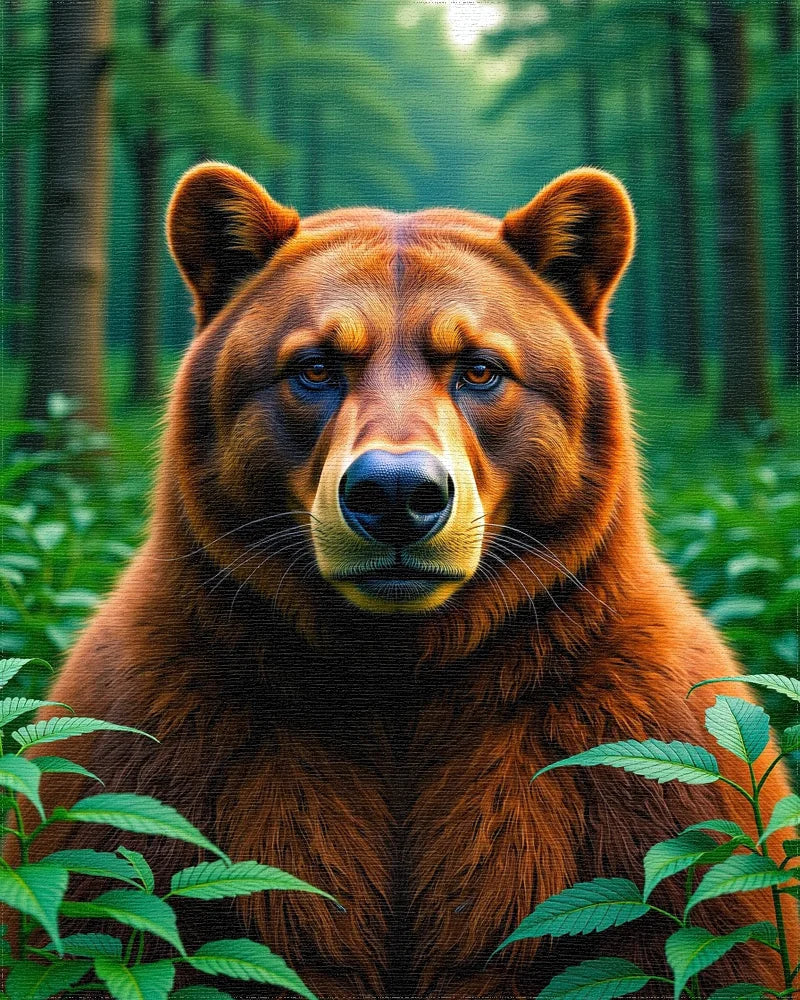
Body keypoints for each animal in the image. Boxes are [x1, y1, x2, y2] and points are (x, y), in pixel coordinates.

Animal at [17, 163, 797, 997]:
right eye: (315, 367)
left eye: (480, 369)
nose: (396, 493)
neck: (401, 683)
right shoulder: (158, 752)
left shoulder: (638, 776)